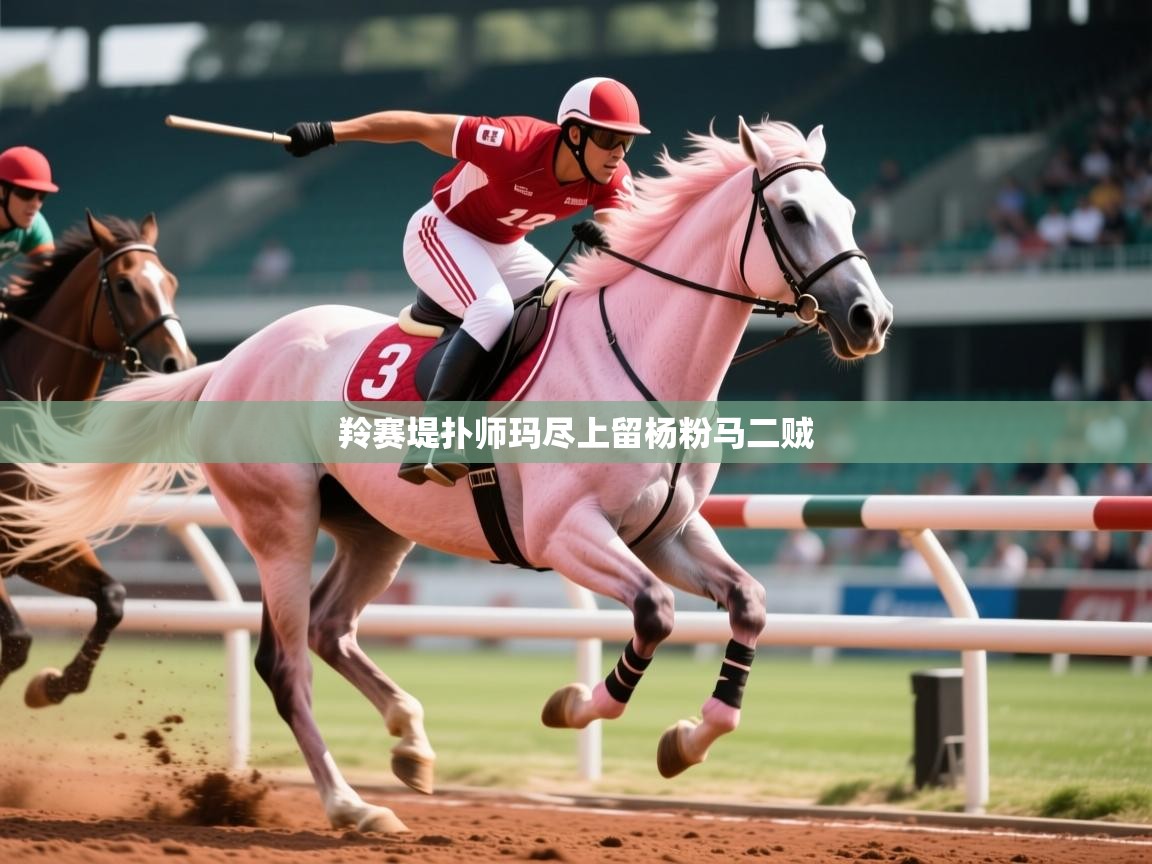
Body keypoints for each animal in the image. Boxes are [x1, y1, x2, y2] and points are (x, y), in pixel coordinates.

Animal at [0, 211, 196, 707]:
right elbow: (17, 638)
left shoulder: (40, 544)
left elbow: (113, 599)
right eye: (125, 286)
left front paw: (52, 685)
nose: (179, 363)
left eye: (170, 281)